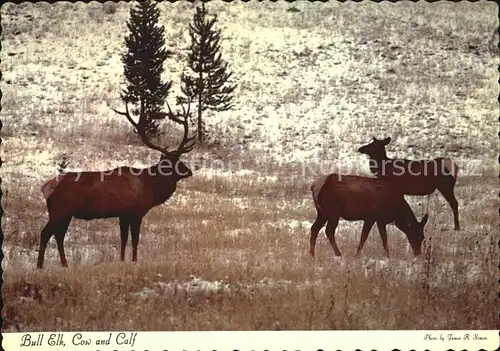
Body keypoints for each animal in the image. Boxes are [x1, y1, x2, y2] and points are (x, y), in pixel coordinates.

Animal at [36, 99, 196, 270]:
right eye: (175, 161)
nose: (189, 171)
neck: (151, 187)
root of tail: (46, 188)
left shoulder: (123, 214)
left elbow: (123, 239)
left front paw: (122, 260)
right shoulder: (136, 212)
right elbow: (135, 239)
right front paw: (134, 261)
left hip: (65, 213)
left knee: (59, 235)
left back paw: (64, 264)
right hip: (60, 210)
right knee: (46, 233)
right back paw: (40, 266)